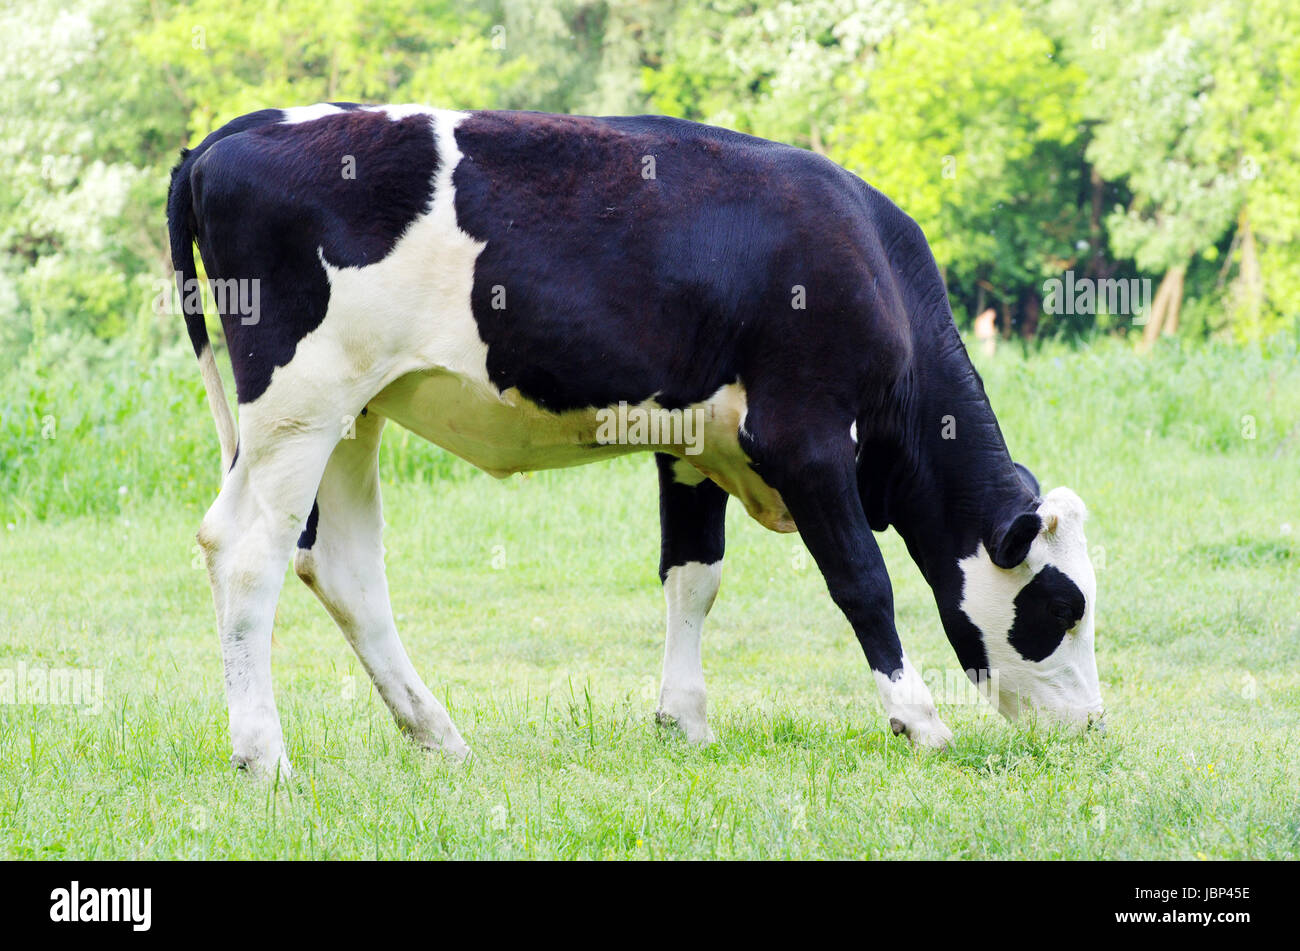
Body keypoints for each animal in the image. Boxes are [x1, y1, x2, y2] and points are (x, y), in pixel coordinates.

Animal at [166, 103, 1104, 777]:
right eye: (1065, 606)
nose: (1093, 723)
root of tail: (233, 133)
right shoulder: (804, 435)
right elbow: (863, 582)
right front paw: (919, 719)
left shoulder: (694, 445)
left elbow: (693, 577)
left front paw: (683, 718)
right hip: (299, 400)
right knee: (245, 552)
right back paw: (265, 756)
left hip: (355, 411)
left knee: (344, 568)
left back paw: (438, 734)